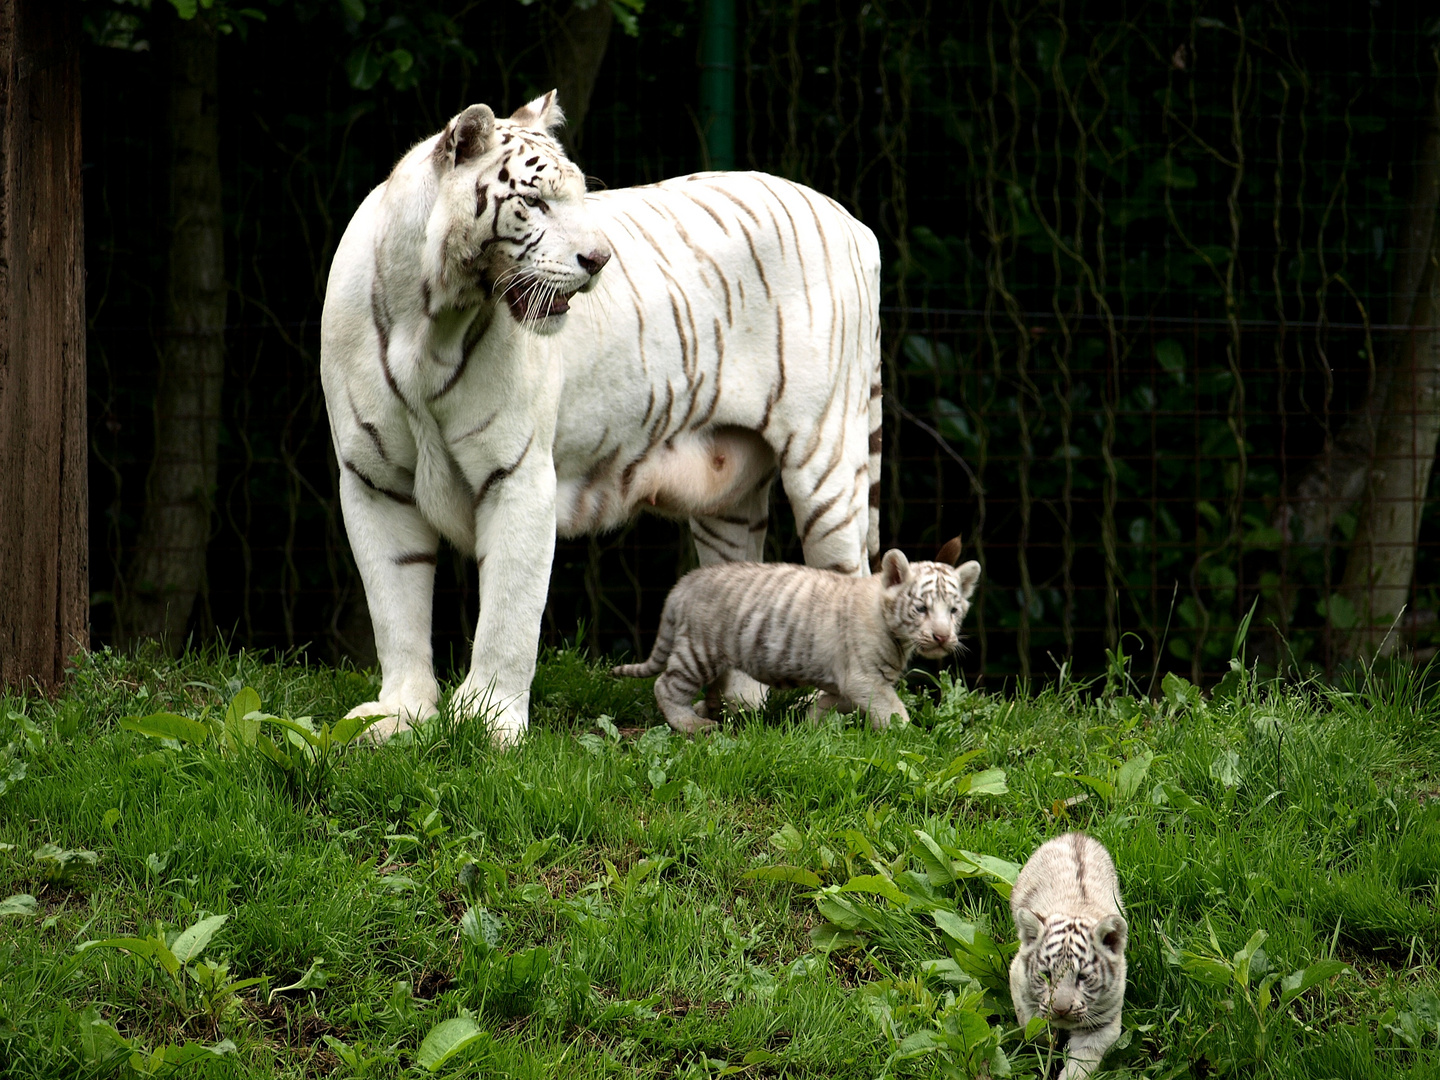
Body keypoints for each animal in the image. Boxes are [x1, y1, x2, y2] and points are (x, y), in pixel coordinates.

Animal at [322, 92, 881, 743]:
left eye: (578, 197)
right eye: (536, 202)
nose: (599, 258)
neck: (430, 320)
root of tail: (852, 222)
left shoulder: (518, 474)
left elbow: (509, 613)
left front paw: (490, 723)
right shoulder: (373, 480)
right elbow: (396, 606)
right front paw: (399, 715)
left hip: (825, 461)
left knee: (851, 574)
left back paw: (835, 717)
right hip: (730, 493)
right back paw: (733, 707)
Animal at [607, 541, 979, 737]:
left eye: (954, 610)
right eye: (921, 608)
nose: (942, 637)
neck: (896, 633)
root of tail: (684, 583)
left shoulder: (848, 683)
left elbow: (831, 704)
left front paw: (810, 725)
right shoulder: (864, 678)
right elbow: (892, 709)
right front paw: (910, 736)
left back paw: (711, 711)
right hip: (699, 651)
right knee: (665, 686)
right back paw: (692, 724)